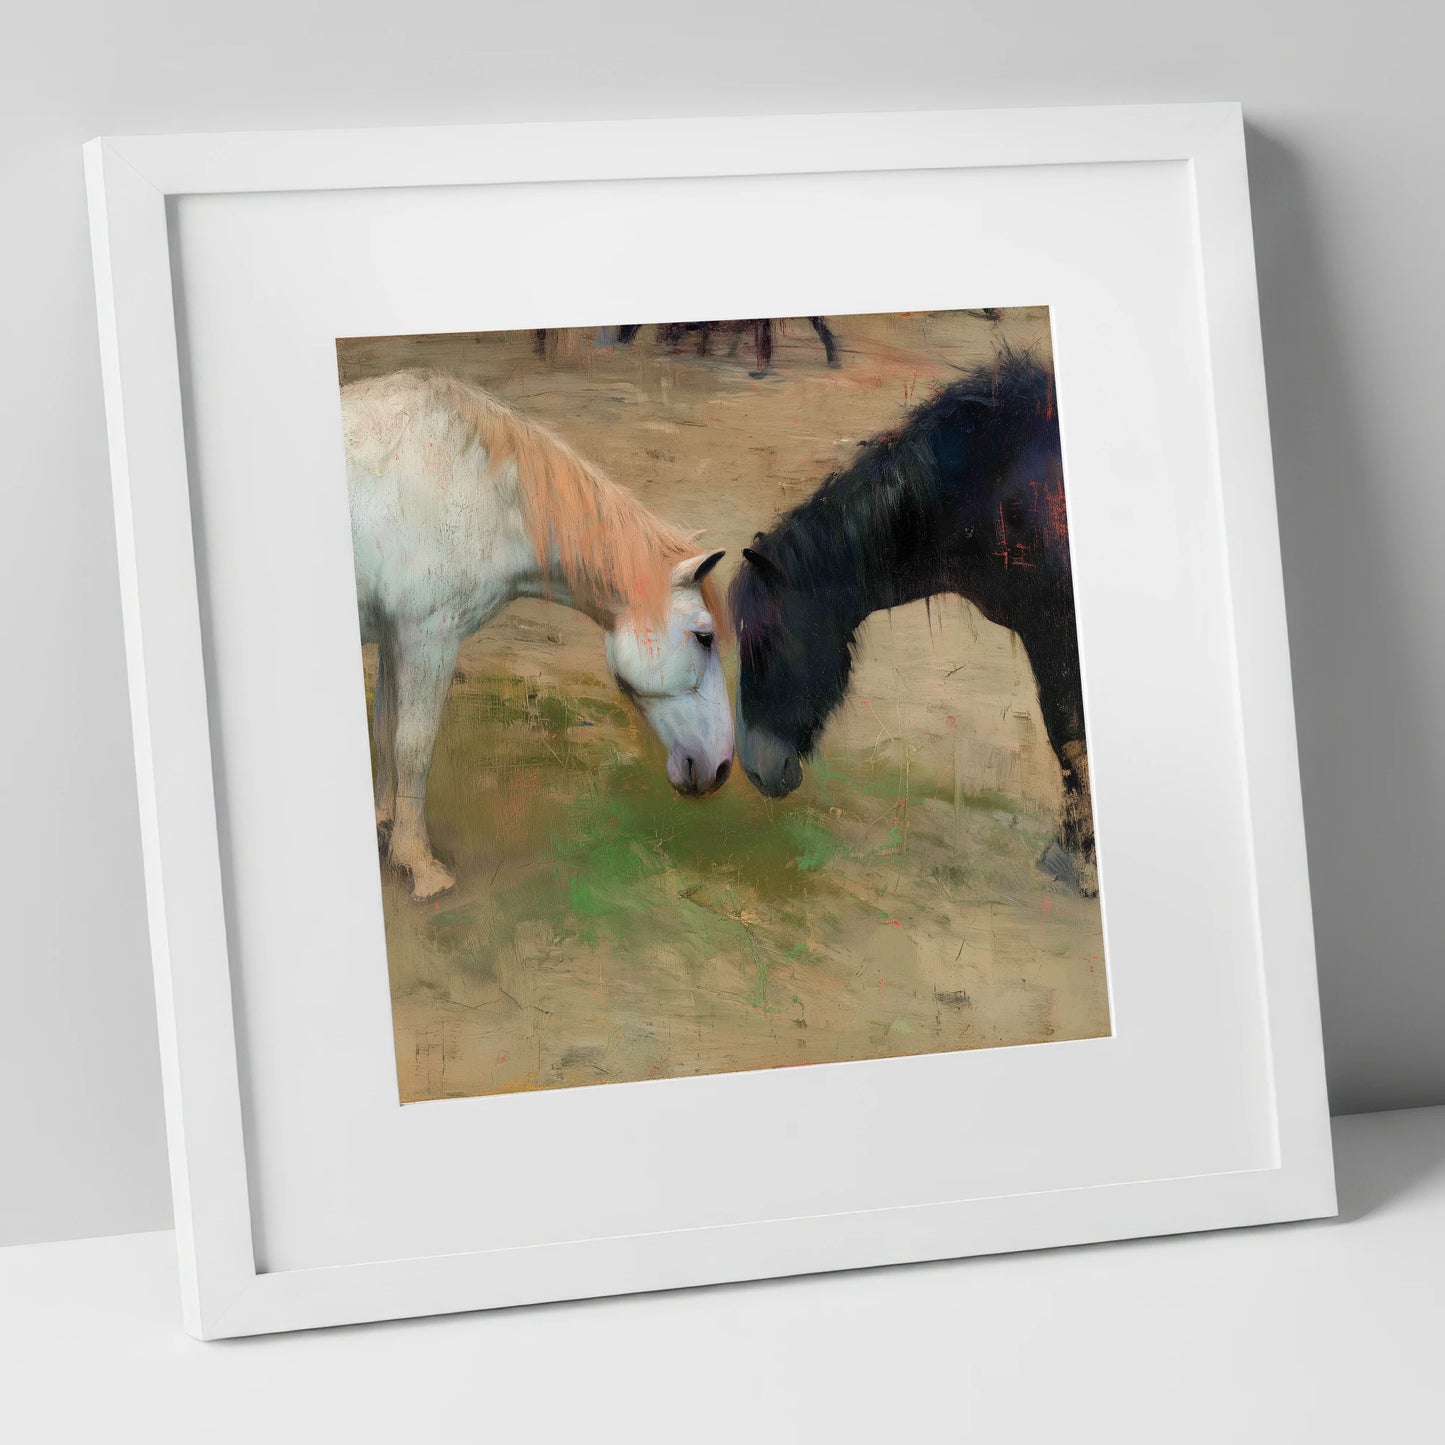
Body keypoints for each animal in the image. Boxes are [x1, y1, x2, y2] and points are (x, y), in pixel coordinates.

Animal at [343, 371, 733, 900]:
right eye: (704, 637)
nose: (722, 769)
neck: (470, 483)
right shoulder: (428, 638)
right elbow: (413, 747)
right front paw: (419, 865)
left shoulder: (395, 635)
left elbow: (384, 727)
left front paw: (384, 820)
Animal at [727, 351, 1096, 893]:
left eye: (769, 641)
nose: (755, 770)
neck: (996, 481)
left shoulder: (1052, 633)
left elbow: (1069, 736)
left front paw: (1075, 860)